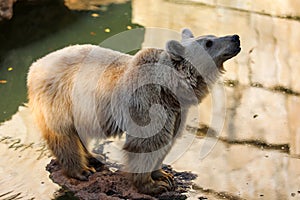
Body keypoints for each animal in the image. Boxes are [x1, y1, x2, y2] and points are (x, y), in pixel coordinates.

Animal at [27, 28, 240, 194]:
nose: (235, 37)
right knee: (63, 135)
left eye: (213, 36)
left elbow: (167, 139)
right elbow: (147, 142)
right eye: (209, 42)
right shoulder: (147, 100)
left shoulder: (176, 110)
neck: (170, 88)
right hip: (59, 98)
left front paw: (164, 175)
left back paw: (93, 158)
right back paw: (82, 170)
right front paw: (153, 185)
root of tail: (35, 66)